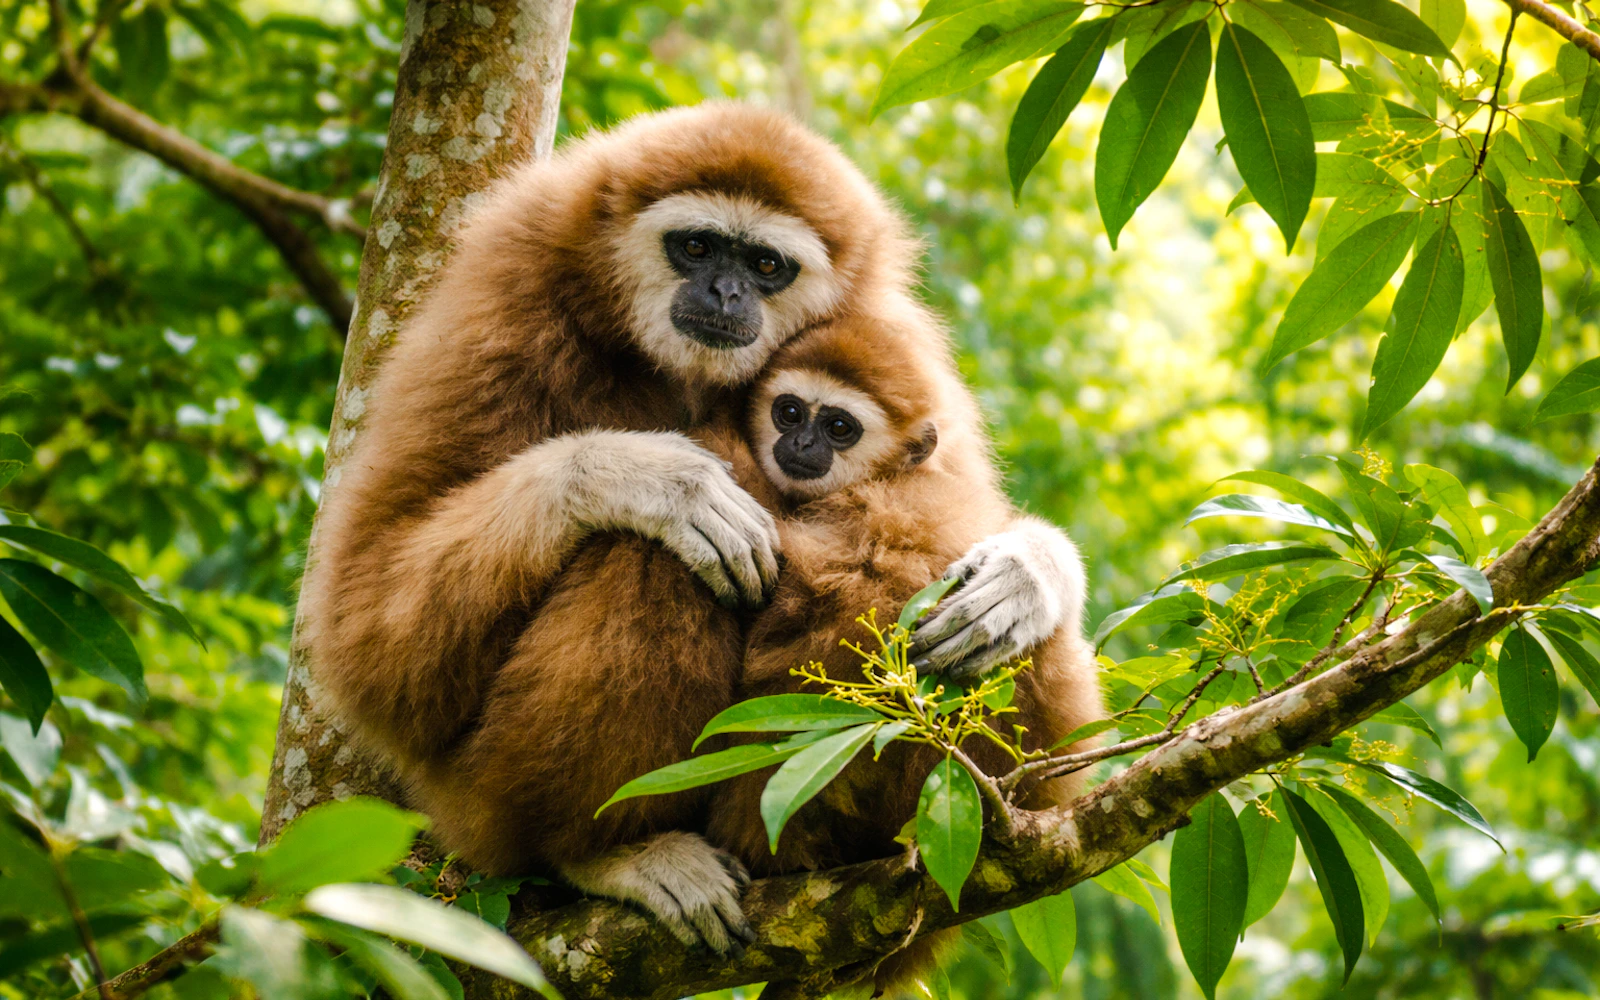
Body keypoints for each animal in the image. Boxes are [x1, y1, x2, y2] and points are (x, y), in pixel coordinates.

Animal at [302, 103, 1095, 956]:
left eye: (768, 265)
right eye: (696, 246)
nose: (724, 289)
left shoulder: (882, 323)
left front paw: (1030, 571)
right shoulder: (507, 294)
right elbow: (371, 635)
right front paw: (649, 479)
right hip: (477, 799)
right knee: (653, 556)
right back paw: (601, 849)